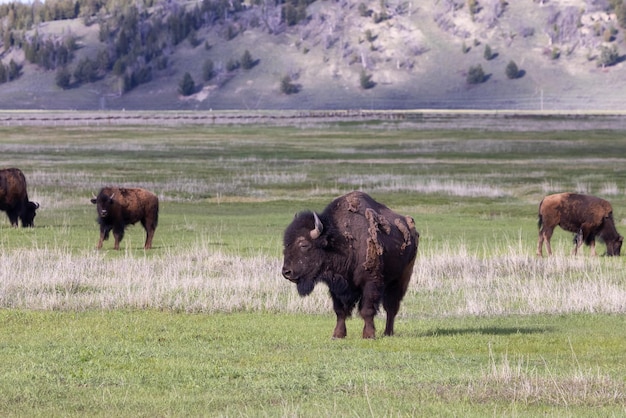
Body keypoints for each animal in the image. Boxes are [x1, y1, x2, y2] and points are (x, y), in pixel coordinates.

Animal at [282, 191, 420, 338]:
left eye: (304, 244)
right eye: (286, 244)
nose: (286, 272)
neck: (339, 242)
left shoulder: (371, 282)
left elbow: (367, 309)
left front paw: (369, 335)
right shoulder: (336, 286)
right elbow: (340, 311)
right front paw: (337, 335)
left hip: (401, 278)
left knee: (391, 307)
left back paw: (388, 332)